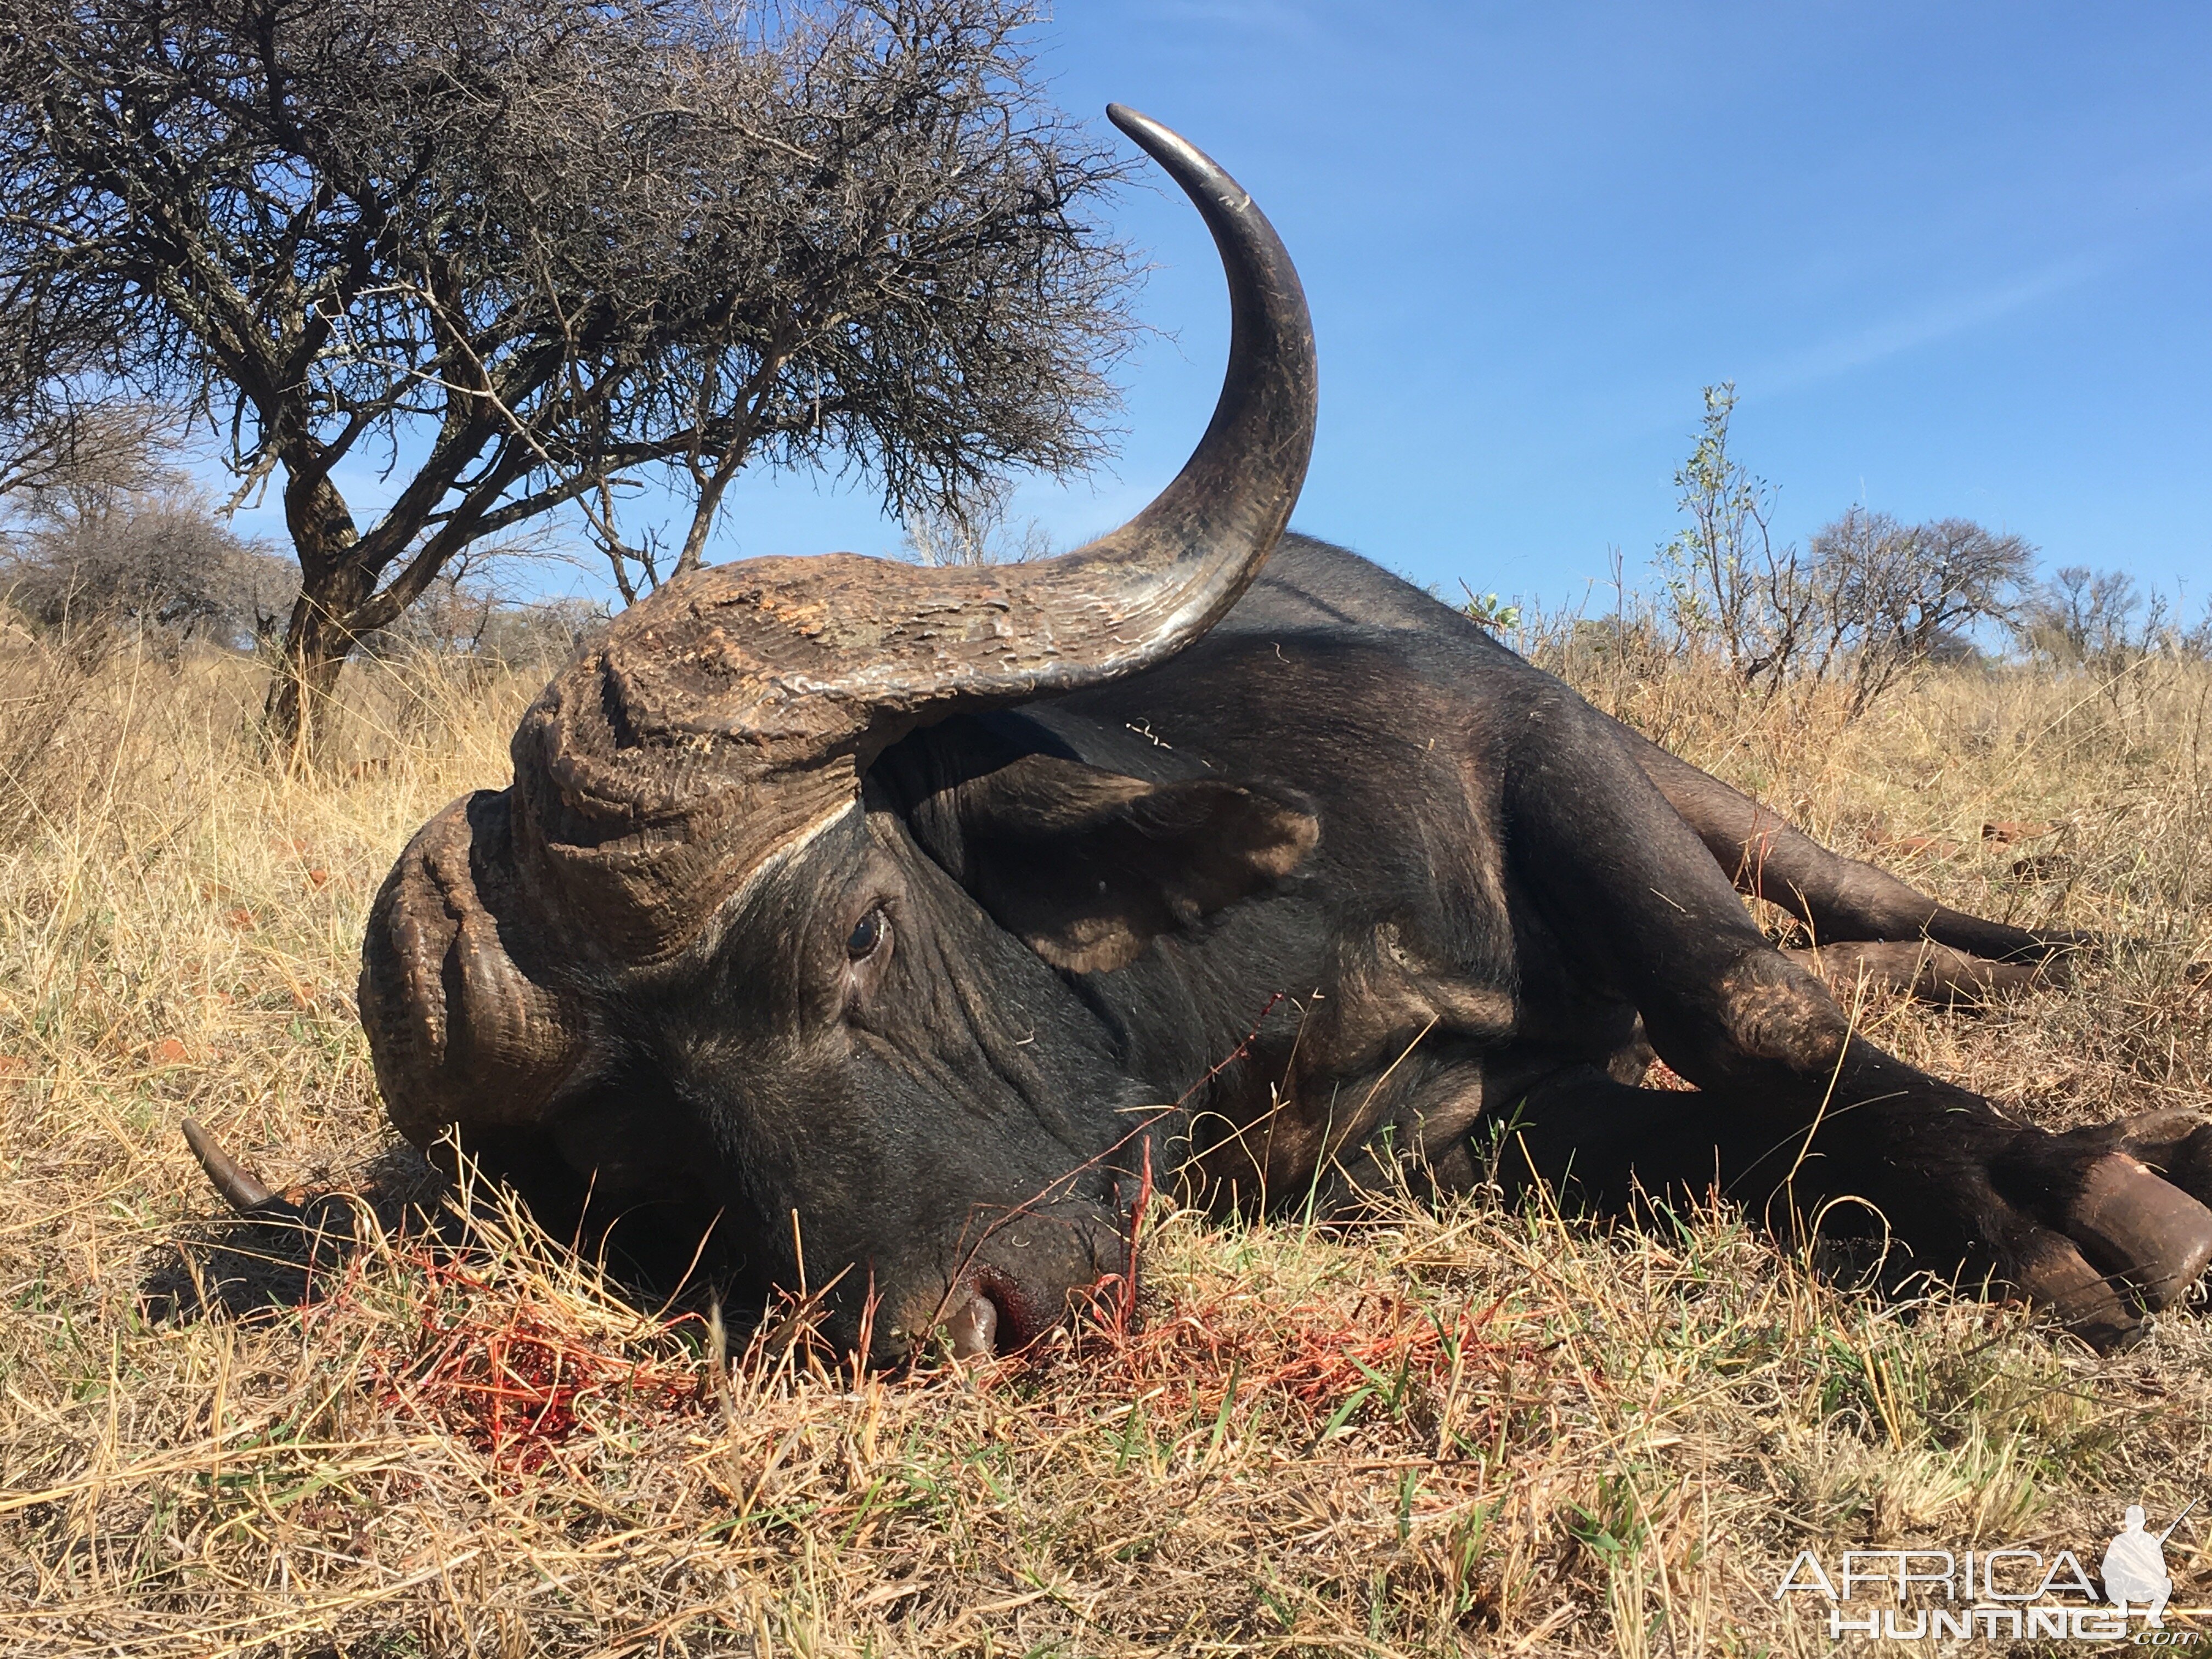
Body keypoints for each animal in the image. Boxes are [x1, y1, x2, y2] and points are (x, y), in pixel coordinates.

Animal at [194, 110, 2212, 1371]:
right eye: (642, 1161)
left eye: (859, 936)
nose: (951, 1331)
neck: (1277, 975)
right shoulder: (1460, 1139)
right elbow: (1716, 1116)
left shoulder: (1531, 750)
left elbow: (1757, 1012)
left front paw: (2080, 1188)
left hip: (1726, 807)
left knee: (1871, 923)